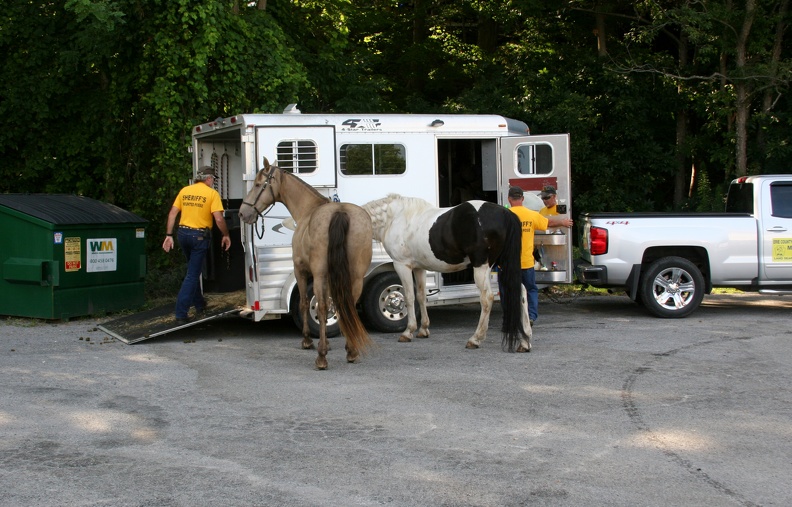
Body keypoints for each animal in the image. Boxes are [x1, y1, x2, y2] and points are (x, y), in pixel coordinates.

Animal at [238, 159, 374, 370]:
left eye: (259, 185)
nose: (243, 213)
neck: (308, 209)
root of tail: (340, 212)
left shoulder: (300, 271)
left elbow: (304, 303)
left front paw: (308, 341)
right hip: (356, 276)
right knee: (347, 304)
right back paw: (351, 351)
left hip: (319, 275)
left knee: (321, 307)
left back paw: (321, 357)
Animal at [366, 194, 532, 354]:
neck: (394, 217)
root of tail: (506, 213)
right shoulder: (419, 268)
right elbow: (421, 296)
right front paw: (423, 329)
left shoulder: (402, 265)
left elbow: (408, 297)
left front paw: (408, 332)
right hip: (505, 264)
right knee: (521, 292)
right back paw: (525, 342)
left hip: (481, 267)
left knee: (487, 298)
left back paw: (475, 339)